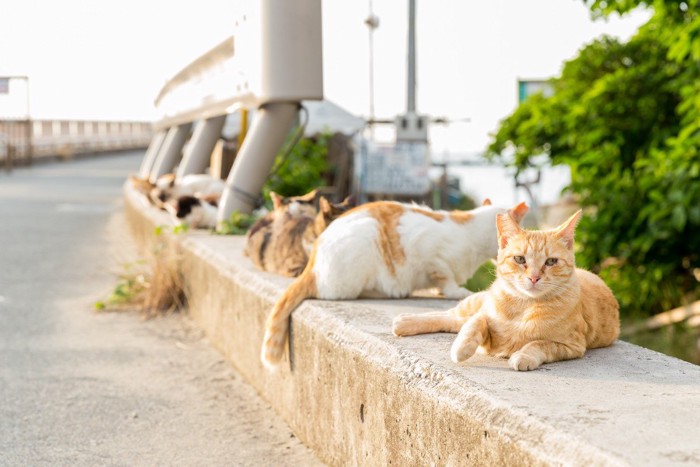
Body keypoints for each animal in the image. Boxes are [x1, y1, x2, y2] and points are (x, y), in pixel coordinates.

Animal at [392, 210, 620, 372]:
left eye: (551, 262)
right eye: (520, 259)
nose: (534, 277)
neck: (523, 307)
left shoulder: (571, 345)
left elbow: (539, 343)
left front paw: (523, 355)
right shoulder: (486, 319)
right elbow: (475, 323)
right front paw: (462, 347)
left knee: (455, 320)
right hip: (475, 301)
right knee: (451, 316)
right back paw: (406, 321)